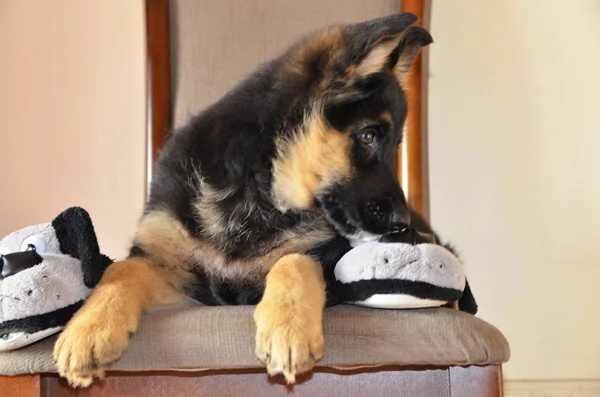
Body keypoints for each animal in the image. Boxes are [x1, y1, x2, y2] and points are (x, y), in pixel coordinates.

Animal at [54, 13, 432, 386]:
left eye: (394, 146)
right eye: (368, 136)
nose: (402, 225)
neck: (258, 190)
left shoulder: (327, 257)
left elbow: (293, 260)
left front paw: (287, 329)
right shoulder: (177, 273)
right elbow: (122, 269)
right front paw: (87, 330)